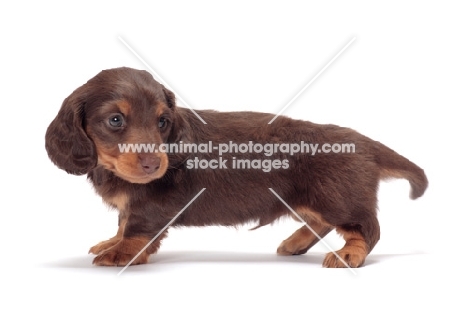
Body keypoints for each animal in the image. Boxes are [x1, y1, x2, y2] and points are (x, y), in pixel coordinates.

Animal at [44, 67, 428, 268]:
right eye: (115, 120)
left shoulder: (151, 207)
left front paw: (121, 252)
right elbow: (122, 222)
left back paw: (349, 253)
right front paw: (111, 241)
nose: (154, 163)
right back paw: (295, 243)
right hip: (311, 199)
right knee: (320, 222)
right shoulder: (130, 205)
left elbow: (136, 230)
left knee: (366, 229)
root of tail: (363, 142)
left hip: (337, 198)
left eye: (163, 121)